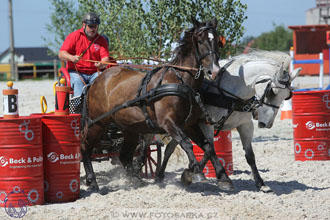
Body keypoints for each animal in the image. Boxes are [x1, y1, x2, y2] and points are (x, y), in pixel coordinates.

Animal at [81, 16, 232, 191]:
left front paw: (223, 177)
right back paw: (92, 181)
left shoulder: (190, 124)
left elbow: (208, 147)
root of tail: (96, 81)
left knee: (124, 156)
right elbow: (187, 144)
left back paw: (135, 179)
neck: (180, 80)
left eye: (218, 41)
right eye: (200, 40)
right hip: (97, 123)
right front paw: (194, 172)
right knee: (85, 147)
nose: (214, 71)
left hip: (130, 128)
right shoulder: (168, 122)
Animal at [155, 50, 302, 192]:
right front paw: (192, 175)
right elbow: (209, 150)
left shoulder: (245, 125)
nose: (267, 124)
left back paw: (160, 174)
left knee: (170, 148)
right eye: (272, 91)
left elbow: (250, 155)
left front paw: (261, 183)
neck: (233, 95)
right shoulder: (206, 124)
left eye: (286, 96)